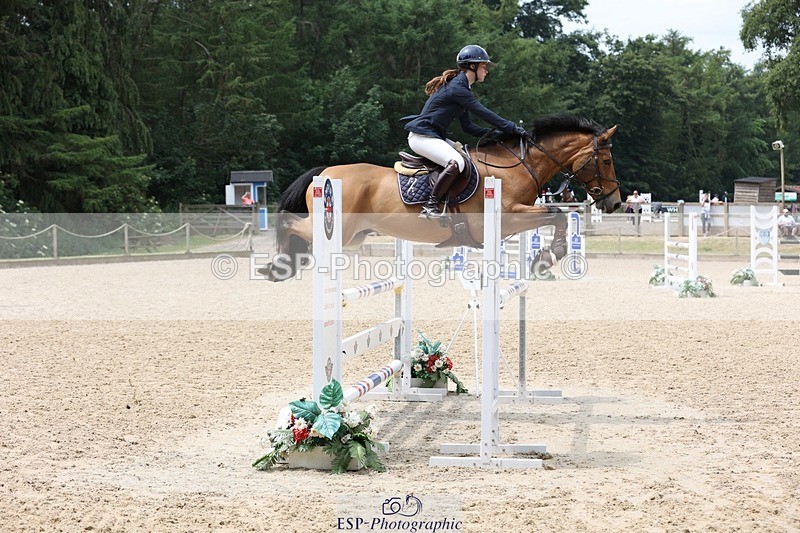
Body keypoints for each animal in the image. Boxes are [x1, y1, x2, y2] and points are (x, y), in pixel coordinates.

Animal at [262, 115, 621, 281]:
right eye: (605, 160)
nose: (615, 202)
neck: (519, 166)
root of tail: (323, 172)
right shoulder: (506, 218)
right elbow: (557, 214)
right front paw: (549, 257)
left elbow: (556, 215)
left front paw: (544, 258)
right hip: (342, 229)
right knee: (291, 223)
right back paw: (278, 264)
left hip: (353, 234)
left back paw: (284, 264)